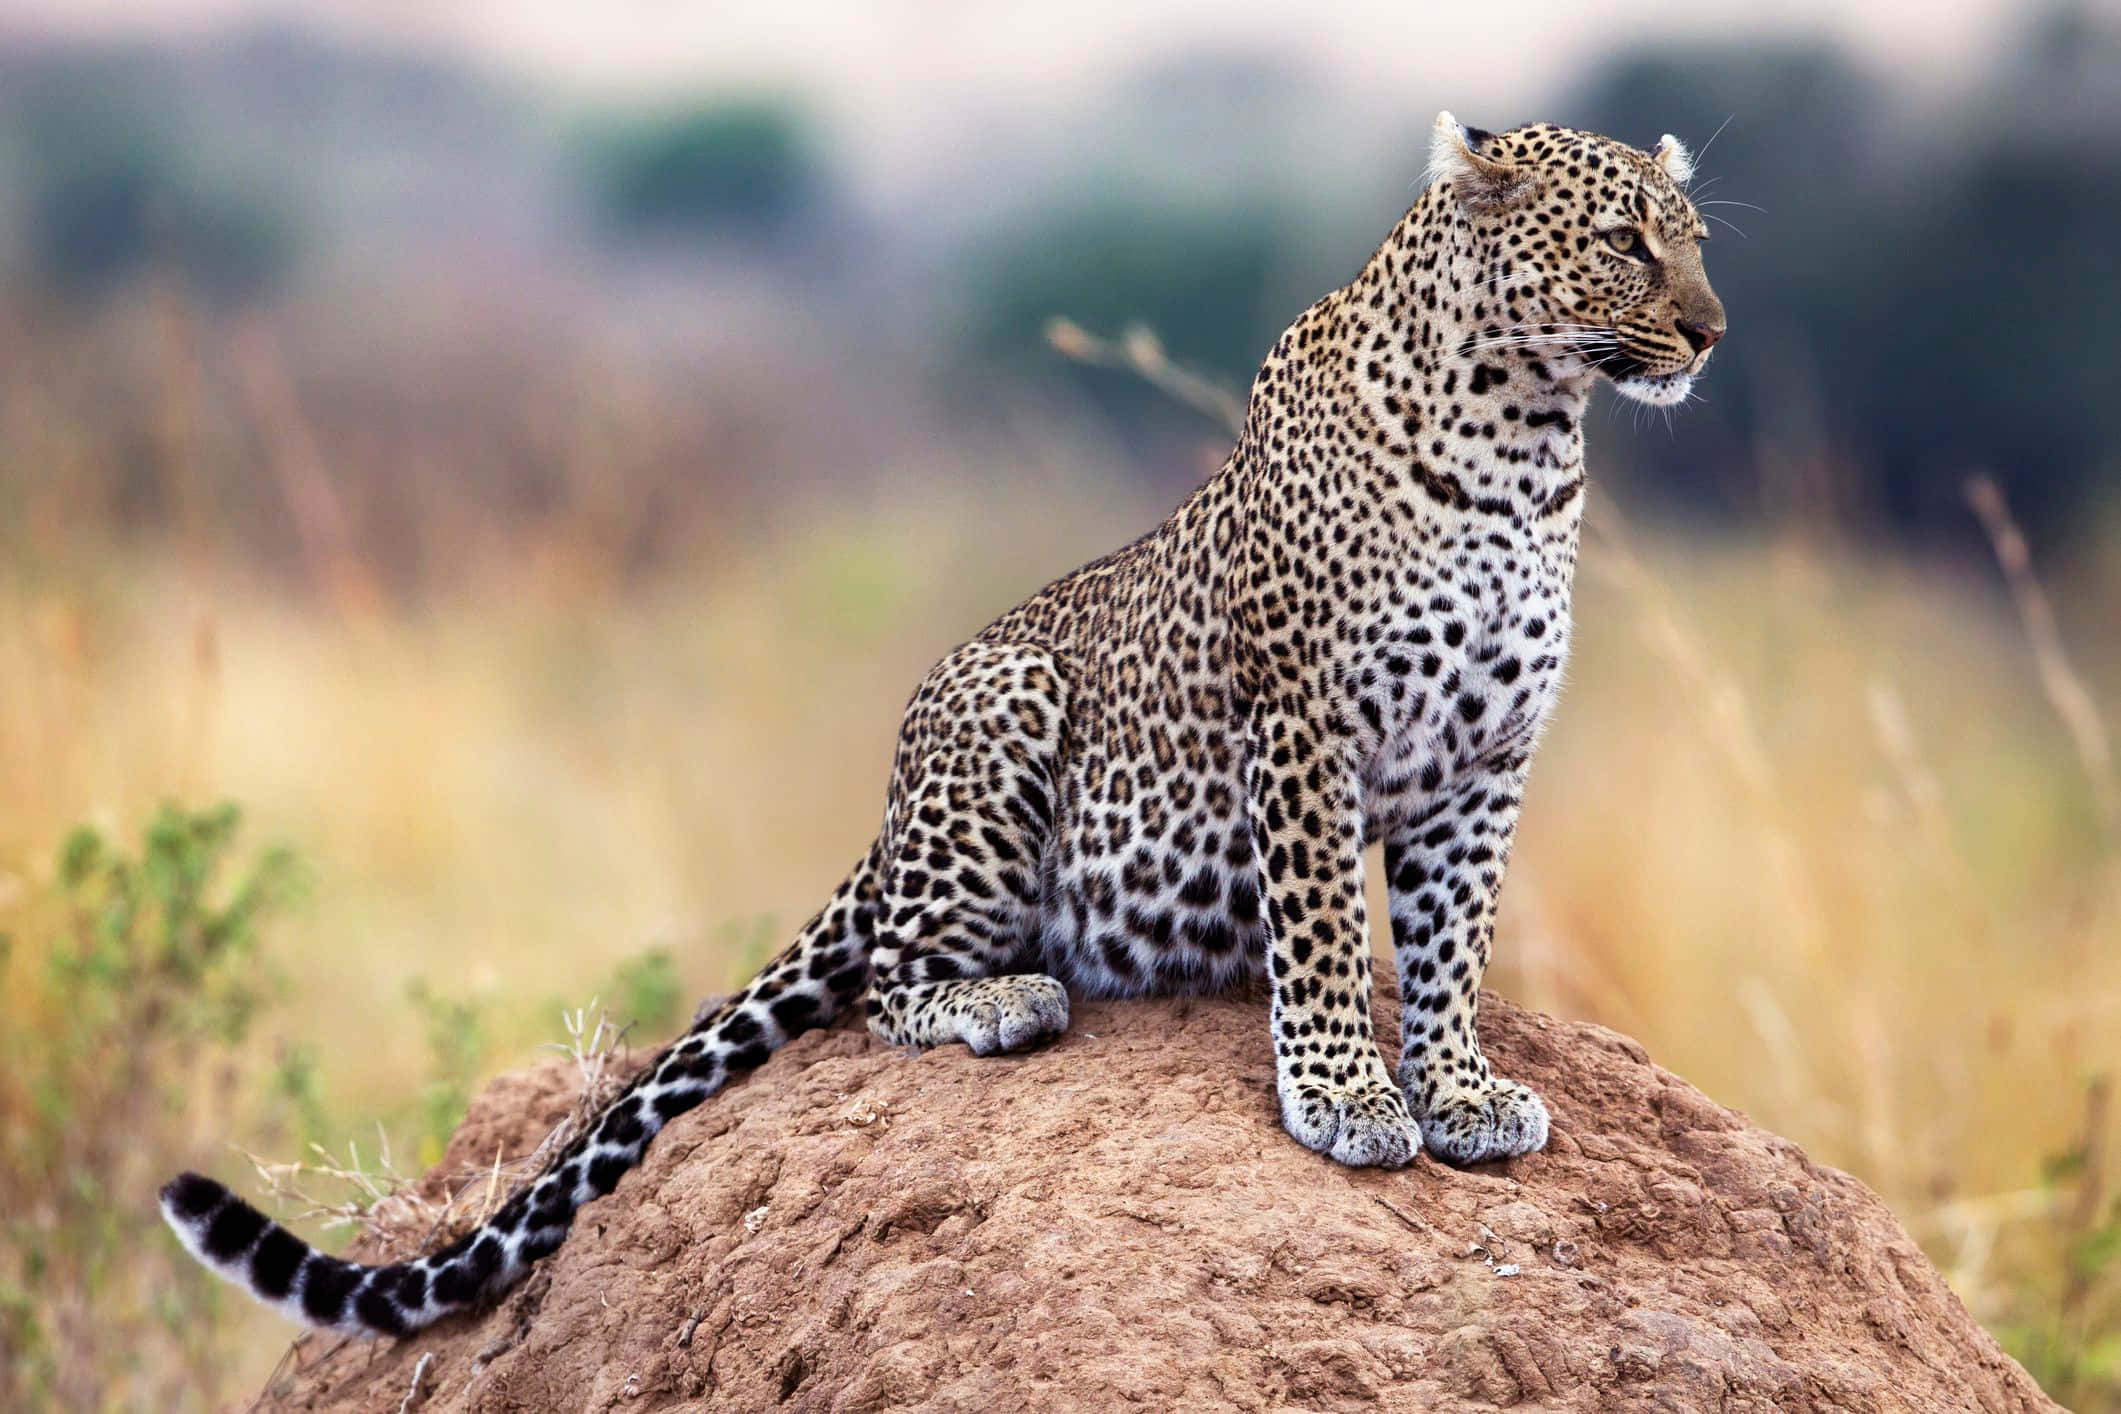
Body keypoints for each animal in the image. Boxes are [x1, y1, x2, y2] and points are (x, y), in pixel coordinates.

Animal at [162, 113, 1725, 1337]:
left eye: (1695, 239)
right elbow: (1333, 934)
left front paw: (1459, 1089)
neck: (1527, 446)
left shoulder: (1489, 759)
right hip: (1005, 704)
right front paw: (1346, 1097)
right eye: (1624, 242)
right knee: (885, 983)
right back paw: (1001, 999)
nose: (1712, 332)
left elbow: (1454, 944)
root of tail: (885, 810)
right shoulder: (1303, 725)